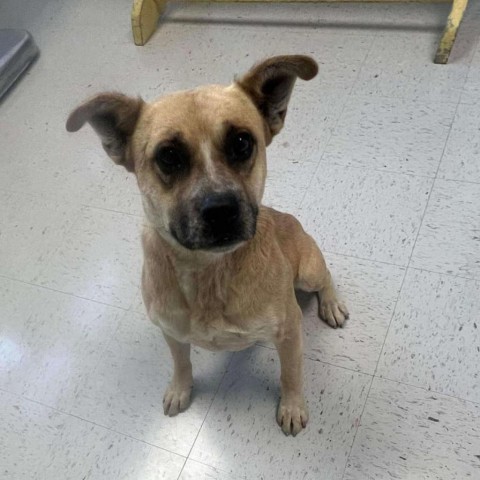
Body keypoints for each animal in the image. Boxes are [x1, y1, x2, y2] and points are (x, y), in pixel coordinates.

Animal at [66, 54, 348, 436]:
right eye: (168, 156)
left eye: (242, 142)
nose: (221, 210)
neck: (207, 274)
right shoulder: (171, 333)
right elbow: (180, 363)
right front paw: (180, 389)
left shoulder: (289, 332)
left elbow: (291, 374)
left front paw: (291, 406)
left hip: (307, 271)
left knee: (327, 276)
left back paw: (331, 304)